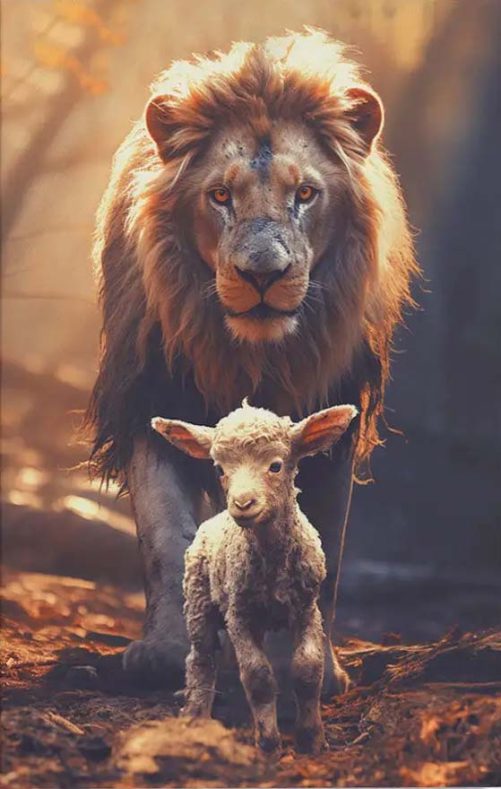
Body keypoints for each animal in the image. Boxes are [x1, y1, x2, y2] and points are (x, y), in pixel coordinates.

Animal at [86, 30, 418, 693]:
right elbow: (166, 538)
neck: (253, 357)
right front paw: (164, 653)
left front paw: (316, 665)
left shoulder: (331, 415)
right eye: (220, 196)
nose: (262, 274)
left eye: (305, 194)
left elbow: (326, 548)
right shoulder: (151, 402)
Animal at [152, 400, 358, 754]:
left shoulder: (306, 608)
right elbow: (257, 676)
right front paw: (269, 742)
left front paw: (311, 738)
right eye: (219, 469)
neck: (271, 561)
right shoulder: (239, 615)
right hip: (199, 600)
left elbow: (308, 668)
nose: (243, 503)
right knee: (201, 659)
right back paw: (195, 717)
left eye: (275, 465)